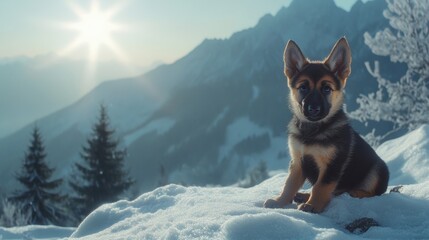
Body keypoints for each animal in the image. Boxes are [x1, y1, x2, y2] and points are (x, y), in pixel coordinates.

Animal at [262, 36, 390, 213]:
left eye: (327, 89)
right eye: (303, 87)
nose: (313, 109)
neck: (312, 131)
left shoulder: (332, 165)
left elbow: (321, 187)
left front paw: (313, 205)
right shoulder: (297, 162)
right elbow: (289, 184)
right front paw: (280, 201)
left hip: (378, 169)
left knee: (373, 192)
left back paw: (355, 192)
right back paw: (303, 195)